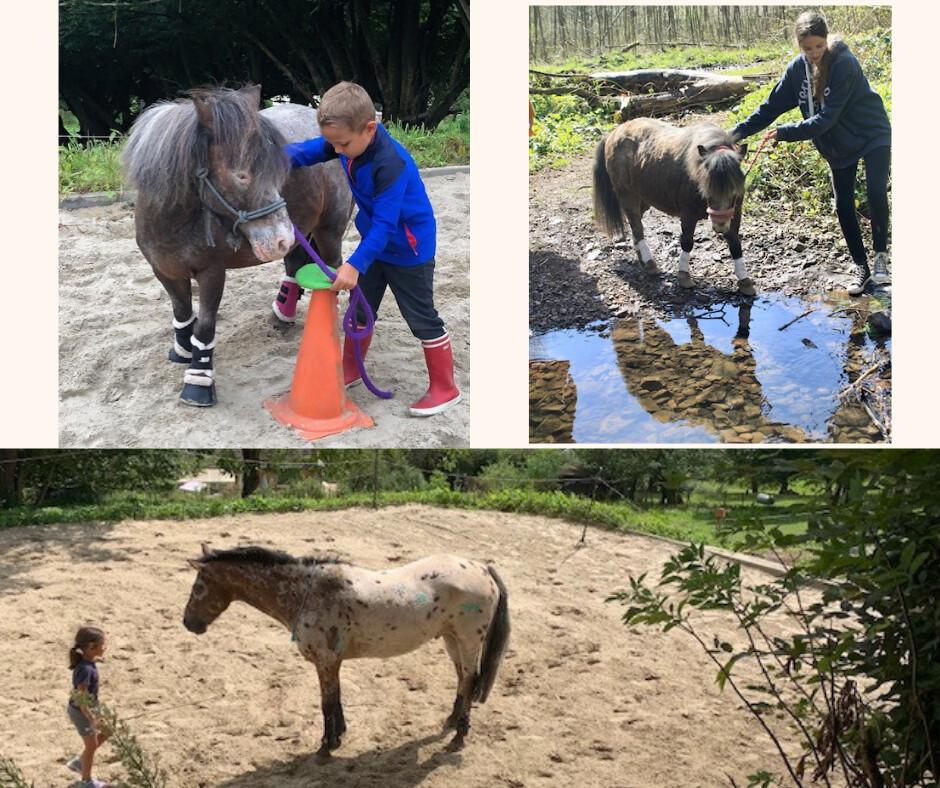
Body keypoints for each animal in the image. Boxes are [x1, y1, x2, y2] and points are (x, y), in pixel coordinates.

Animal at [121, 85, 348, 406]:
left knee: (332, 268)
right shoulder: (164, 271)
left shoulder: (212, 273)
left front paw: (198, 381)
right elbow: (181, 311)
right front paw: (182, 350)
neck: (173, 222)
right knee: (293, 265)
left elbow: (205, 325)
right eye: (241, 175)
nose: (281, 238)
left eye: (279, 171)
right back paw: (282, 316)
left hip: (328, 230)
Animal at [181, 544, 510, 760]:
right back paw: (452, 722)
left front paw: (326, 746)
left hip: (468, 640)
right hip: (452, 639)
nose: (188, 623)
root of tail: (483, 568)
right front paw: (338, 736)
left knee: (470, 679)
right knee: (463, 680)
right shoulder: (332, 662)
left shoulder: (325, 662)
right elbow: (335, 699)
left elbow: (326, 703)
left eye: (199, 587)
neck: (307, 592)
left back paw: (459, 736)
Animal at [596, 118, 756, 298]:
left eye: (734, 192)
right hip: (627, 195)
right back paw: (650, 263)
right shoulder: (688, 214)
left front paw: (745, 281)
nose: (720, 226)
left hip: (643, 198)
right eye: (707, 189)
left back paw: (643, 260)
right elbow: (687, 242)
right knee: (637, 226)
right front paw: (684, 276)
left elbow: (735, 243)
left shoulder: (735, 213)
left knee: (635, 226)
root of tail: (613, 133)